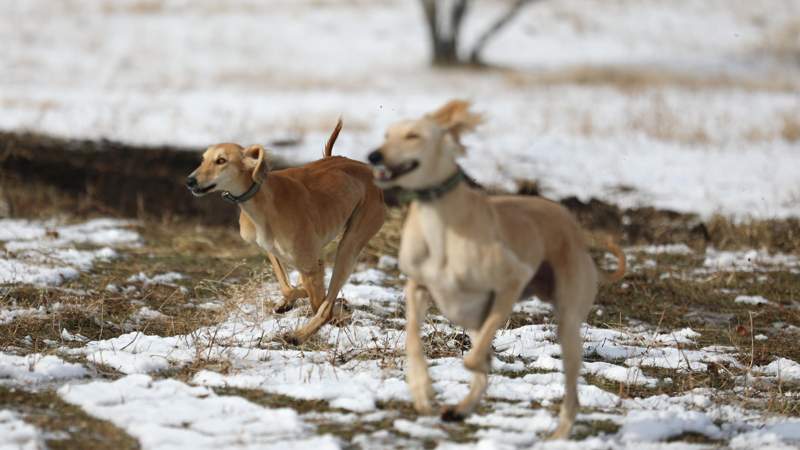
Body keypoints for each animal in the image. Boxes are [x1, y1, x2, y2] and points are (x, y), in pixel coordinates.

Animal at [189, 121, 386, 342]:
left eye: (221, 160)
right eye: (203, 159)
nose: (190, 181)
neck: (264, 200)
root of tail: (365, 169)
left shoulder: (309, 264)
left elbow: (319, 302)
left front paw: (330, 312)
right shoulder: (272, 249)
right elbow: (288, 287)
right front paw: (291, 299)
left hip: (350, 245)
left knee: (326, 304)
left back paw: (299, 334)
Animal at [368, 101, 624, 440]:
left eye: (413, 135)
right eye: (386, 135)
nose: (374, 156)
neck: (440, 220)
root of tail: (576, 229)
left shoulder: (511, 281)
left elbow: (474, 359)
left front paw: (476, 367)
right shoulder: (418, 287)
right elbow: (413, 338)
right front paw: (423, 393)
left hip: (567, 323)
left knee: (572, 391)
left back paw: (558, 434)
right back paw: (461, 408)